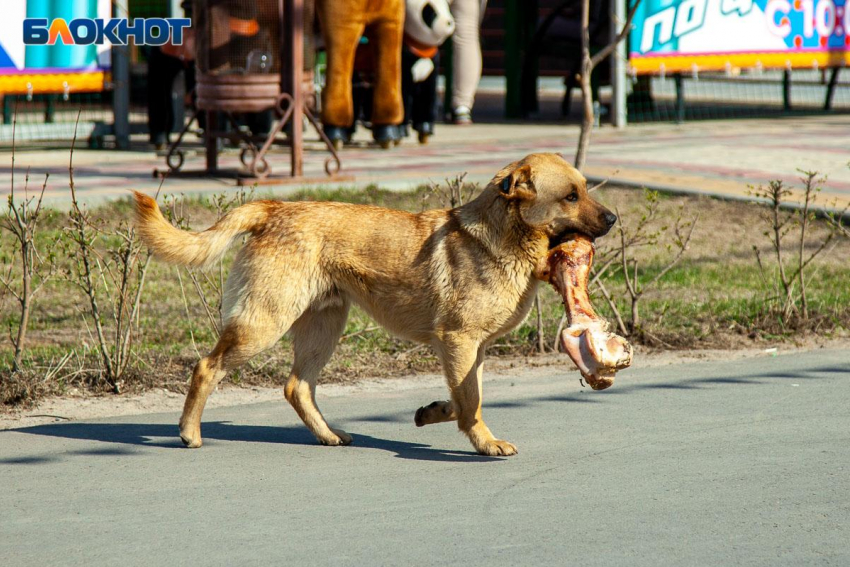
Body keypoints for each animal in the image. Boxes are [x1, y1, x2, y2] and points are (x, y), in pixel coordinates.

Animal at [132, 154, 612, 458]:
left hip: (323, 329)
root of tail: (274, 208)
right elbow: (471, 403)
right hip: (262, 325)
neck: (505, 236)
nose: (613, 219)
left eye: (585, 189)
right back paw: (189, 433)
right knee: (207, 367)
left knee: (297, 387)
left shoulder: (470, 351)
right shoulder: (457, 342)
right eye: (571, 196)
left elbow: (464, 399)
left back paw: (328, 435)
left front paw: (433, 413)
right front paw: (485, 443)